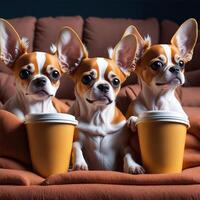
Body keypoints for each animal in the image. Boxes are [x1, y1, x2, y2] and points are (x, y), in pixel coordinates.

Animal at [57, 25, 145, 173]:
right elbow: (76, 147)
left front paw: (134, 166)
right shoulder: (77, 140)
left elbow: (128, 154)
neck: (98, 117)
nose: (103, 86)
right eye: (87, 79)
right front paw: (79, 164)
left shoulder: (124, 146)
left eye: (116, 81)